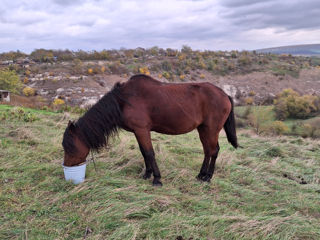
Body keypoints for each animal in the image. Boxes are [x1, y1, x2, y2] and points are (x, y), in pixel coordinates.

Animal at [62, 74, 238, 187]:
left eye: (69, 146)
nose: (67, 166)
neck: (124, 100)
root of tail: (225, 94)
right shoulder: (138, 131)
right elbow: (143, 152)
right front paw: (146, 174)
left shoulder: (142, 130)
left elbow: (149, 152)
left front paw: (157, 179)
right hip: (203, 129)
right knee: (208, 151)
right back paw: (201, 175)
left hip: (211, 129)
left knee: (213, 151)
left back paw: (208, 177)